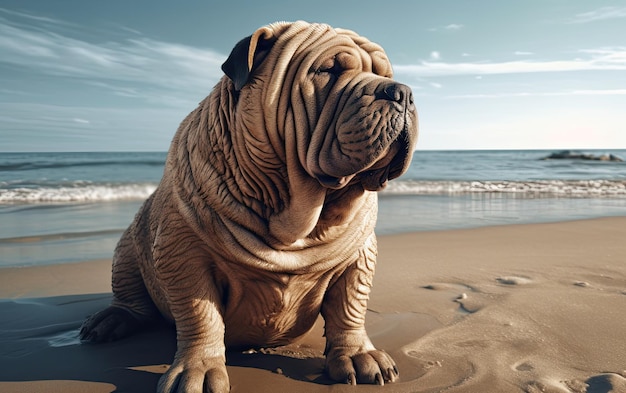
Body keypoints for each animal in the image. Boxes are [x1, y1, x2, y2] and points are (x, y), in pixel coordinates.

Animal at [80, 21, 416, 392]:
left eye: (386, 74)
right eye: (328, 70)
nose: (402, 92)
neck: (298, 214)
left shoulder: (359, 253)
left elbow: (350, 305)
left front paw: (358, 355)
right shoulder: (182, 254)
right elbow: (200, 316)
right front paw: (197, 369)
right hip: (127, 248)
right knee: (131, 297)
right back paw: (110, 321)